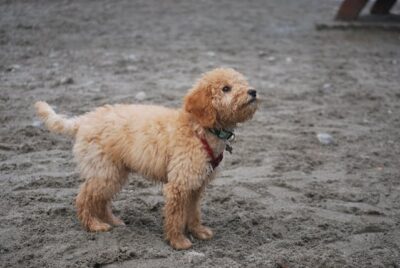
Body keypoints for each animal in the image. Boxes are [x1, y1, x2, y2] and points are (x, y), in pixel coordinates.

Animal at [36, 67, 258, 249]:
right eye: (226, 88)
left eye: (242, 83)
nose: (253, 91)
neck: (200, 128)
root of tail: (84, 120)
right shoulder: (179, 184)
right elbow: (176, 215)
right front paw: (178, 241)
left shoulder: (196, 184)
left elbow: (193, 212)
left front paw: (198, 231)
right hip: (104, 171)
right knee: (83, 198)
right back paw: (94, 225)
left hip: (114, 172)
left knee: (100, 200)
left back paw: (113, 221)